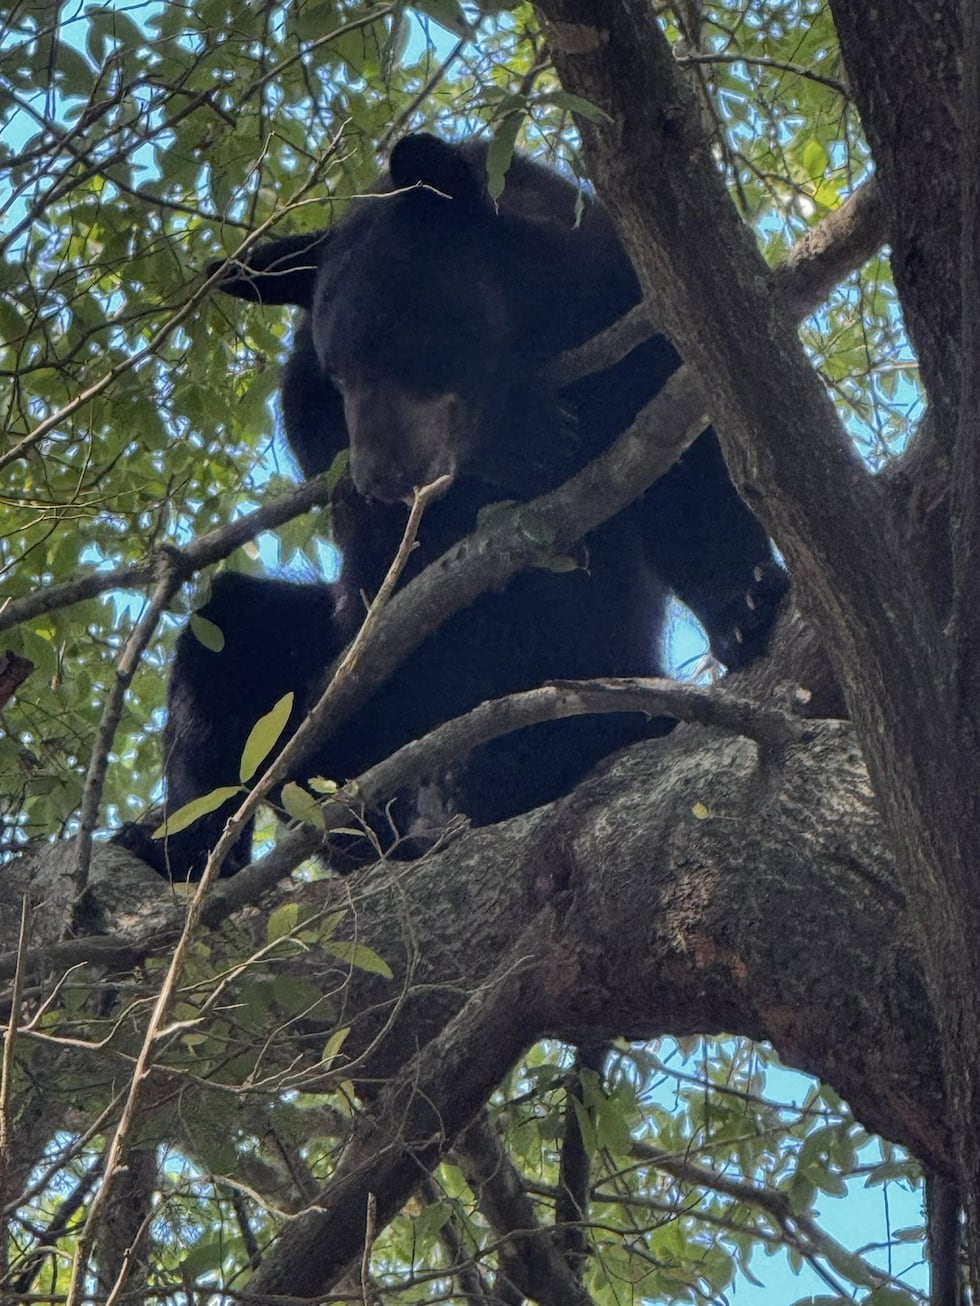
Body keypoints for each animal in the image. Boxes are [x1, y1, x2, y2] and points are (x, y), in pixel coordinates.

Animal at [115, 132, 787, 880]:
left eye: (397, 338)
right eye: (339, 369)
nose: (381, 476)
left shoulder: (631, 313)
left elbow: (689, 470)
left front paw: (746, 603)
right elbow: (350, 492)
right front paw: (516, 434)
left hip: (582, 662)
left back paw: (495, 768)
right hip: (338, 706)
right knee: (226, 640)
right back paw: (178, 847)